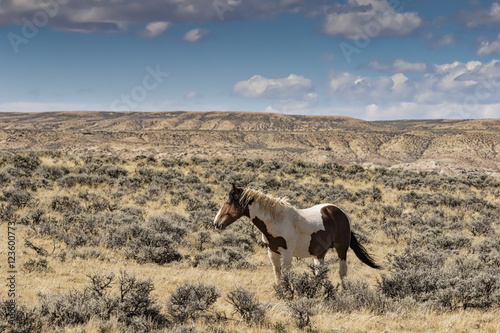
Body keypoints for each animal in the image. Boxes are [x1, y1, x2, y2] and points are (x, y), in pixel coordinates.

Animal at [213, 184, 380, 280]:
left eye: (229, 202)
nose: (216, 223)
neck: (276, 221)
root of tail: (340, 212)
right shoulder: (272, 253)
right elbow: (277, 274)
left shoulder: (286, 253)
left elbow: (286, 275)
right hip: (320, 253)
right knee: (320, 272)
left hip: (341, 249)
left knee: (342, 272)